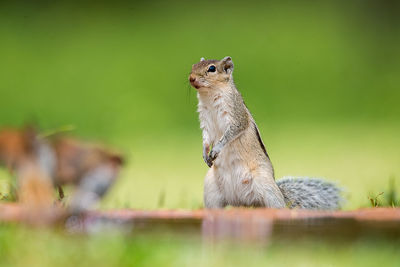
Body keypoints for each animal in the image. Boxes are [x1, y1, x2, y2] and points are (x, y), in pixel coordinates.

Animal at [189, 57, 342, 211]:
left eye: (212, 68)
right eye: (194, 65)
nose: (191, 78)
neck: (209, 94)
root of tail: (242, 202)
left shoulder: (237, 115)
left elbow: (232, 132)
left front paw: (216, 149)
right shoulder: (205, 121)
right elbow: (206, 138)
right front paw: (205, 153)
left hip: (267, 188)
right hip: (210, 190)